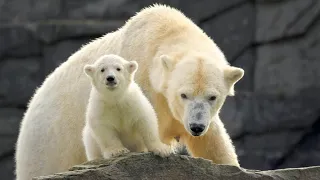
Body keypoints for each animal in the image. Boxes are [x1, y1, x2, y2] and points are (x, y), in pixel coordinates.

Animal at [15, 3, 244, 179]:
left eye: (213, 97)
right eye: (183, 94)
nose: (196, 127)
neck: (162, 32)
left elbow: (213, 143)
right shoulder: (143, 91)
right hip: (47, 146)